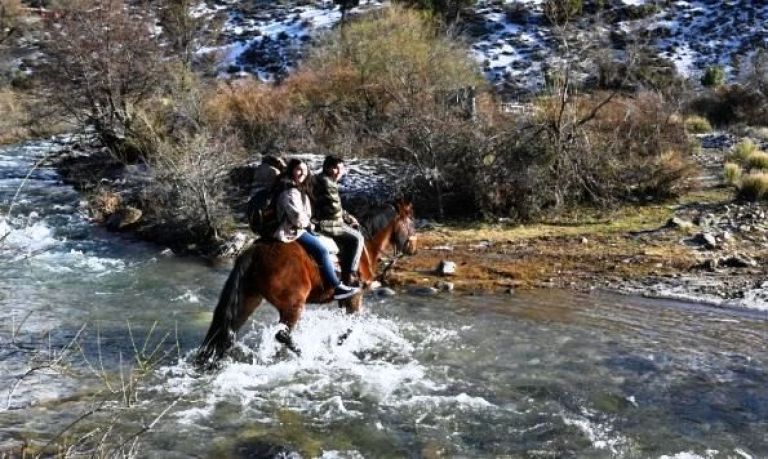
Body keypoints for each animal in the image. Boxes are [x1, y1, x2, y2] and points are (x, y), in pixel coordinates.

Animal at [195, 199, 416, 364]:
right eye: (411, 222)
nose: (413, 248)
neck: (365, 245)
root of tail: (254, 252)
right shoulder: (355, 296)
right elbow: (350, 327)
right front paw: (337, 346)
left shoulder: (344, 299)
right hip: (292, 305)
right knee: (282, 335)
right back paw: (306, 354)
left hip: (249, 299)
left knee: (228, 331)